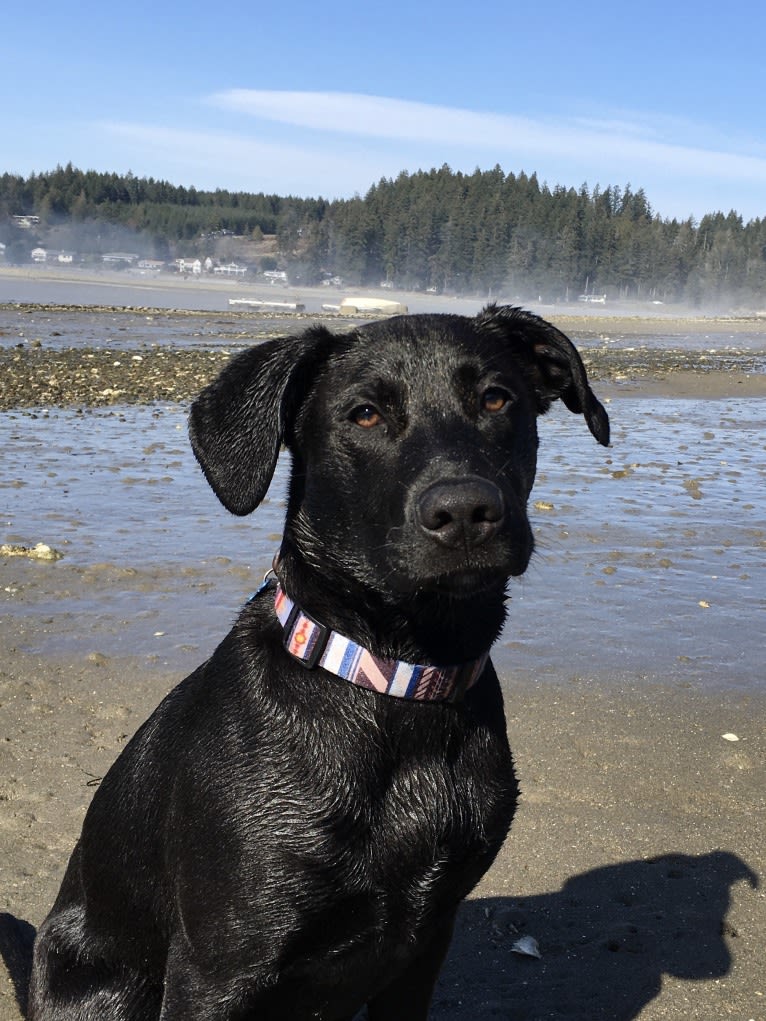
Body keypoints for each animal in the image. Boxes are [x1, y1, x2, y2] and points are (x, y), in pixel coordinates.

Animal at [27, 304, 608, 1021]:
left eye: (498, 399)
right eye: (365, 414)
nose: (465, 510)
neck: (395, 681)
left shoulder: (425, 942)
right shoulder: (217, 968)